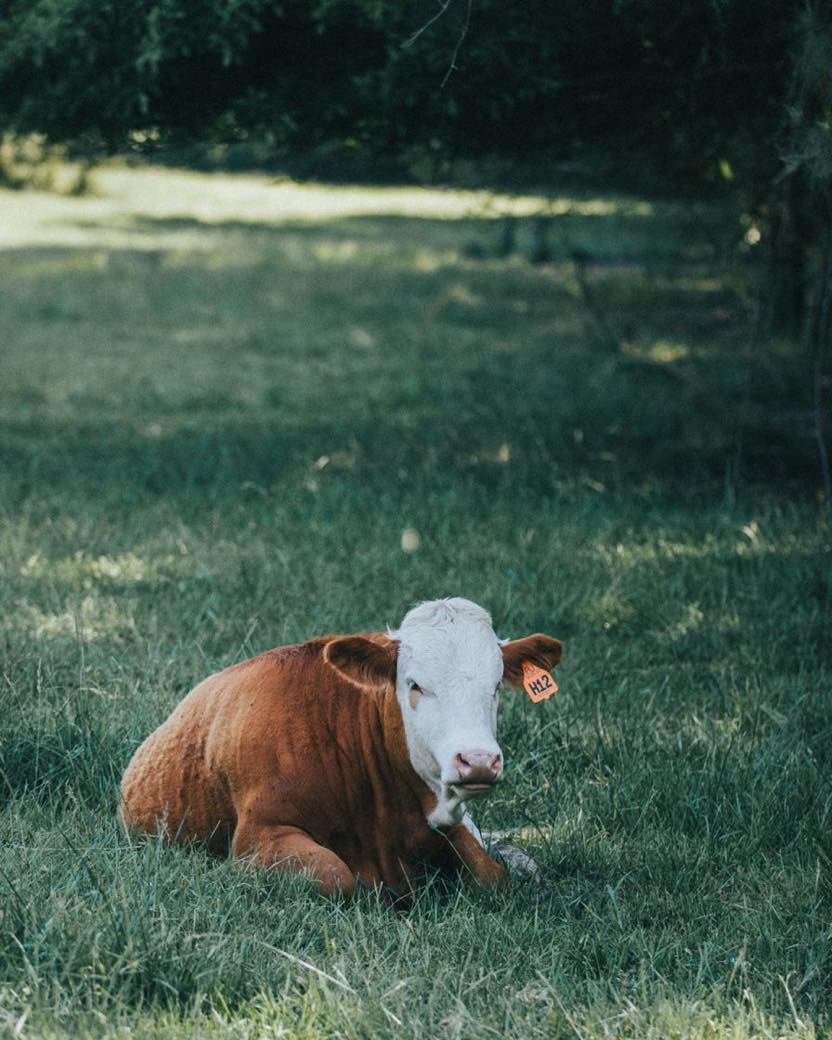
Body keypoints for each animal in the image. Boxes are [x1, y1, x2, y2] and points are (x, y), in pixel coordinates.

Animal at [120, 598, 562, 898]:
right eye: (414, 684)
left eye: (496, 686)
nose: (478, 761)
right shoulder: (258, 835)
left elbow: (491, 875)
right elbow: (336, 875)